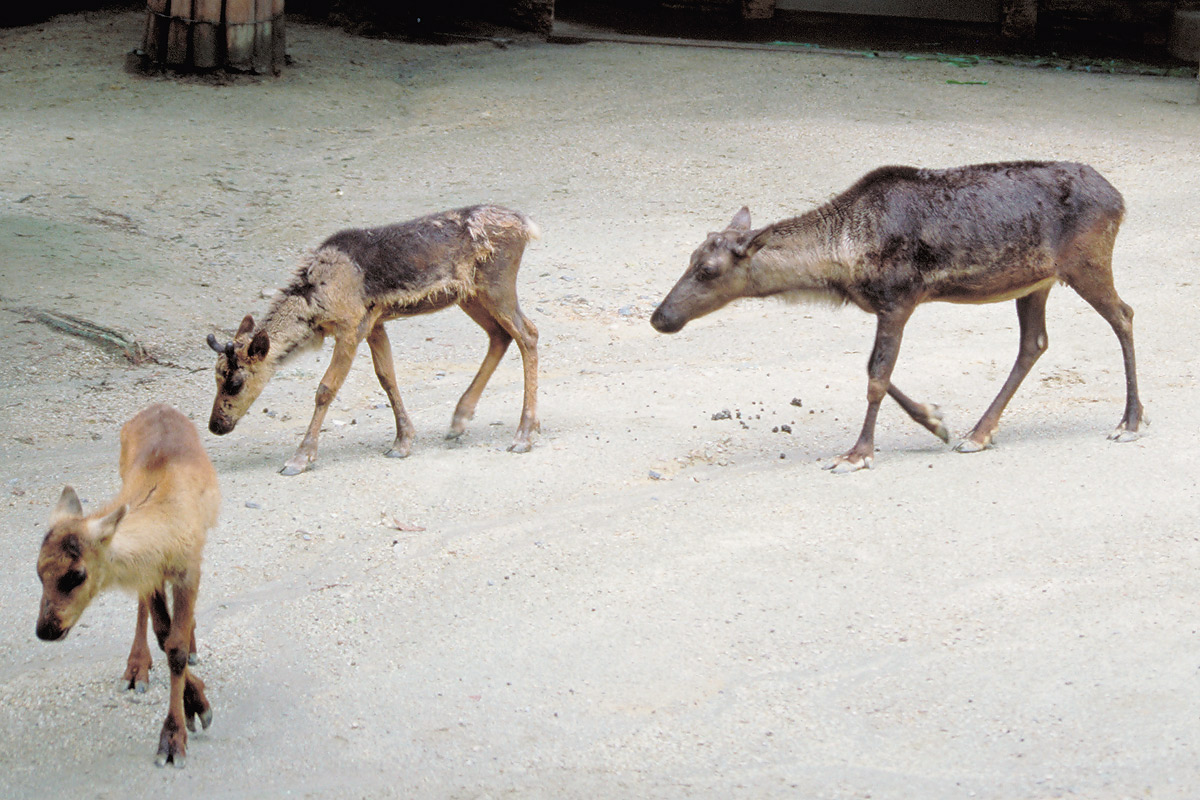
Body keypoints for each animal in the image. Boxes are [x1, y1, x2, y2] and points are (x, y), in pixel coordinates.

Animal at [35, 407, 220, 767]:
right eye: (38, 572)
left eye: (77, 574)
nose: (46, 629)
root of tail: (159, 406)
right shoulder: (150, 572)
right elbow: (164, 636)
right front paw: (193, 704)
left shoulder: (188, 569)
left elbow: (176, 648)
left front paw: (175, 737)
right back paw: (136, 668)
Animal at [208, 205, 542, 474]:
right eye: (216, 376)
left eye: (235, 382)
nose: (215, 425)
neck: (316, 302)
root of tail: (527, 224)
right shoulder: (375, 324)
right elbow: (386, 377)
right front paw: (402, 442)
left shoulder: (350, 326)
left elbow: (326, 389)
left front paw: (300, 458)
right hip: (470, 296)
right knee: (500, 335)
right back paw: (460, 420)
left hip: (497, 286)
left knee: (528, 334)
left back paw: (523, 434)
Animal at [652, 163, 1147, 474]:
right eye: (689, 258)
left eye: (708, 269)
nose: (661, 317)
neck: (841, 265)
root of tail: (1121, 199)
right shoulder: (886, 308)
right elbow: (877, 371)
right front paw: (936, 420)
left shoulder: (898, 300)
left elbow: (876, 376)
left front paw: (857, 455)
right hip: (1036, 282)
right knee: (1035, 343)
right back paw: (979, 432)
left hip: (1086, 262)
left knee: (1124, 315)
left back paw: (1130, 421)